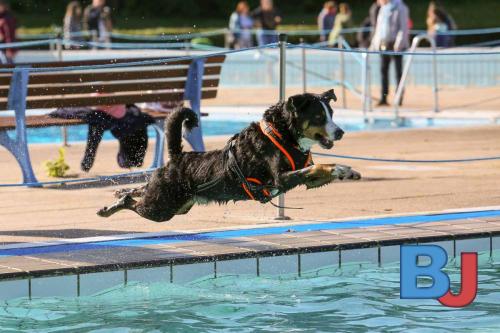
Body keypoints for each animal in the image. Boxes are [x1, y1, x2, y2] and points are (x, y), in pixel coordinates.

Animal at [97, 89, 362, 222]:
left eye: (331, 113)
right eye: (318, 116)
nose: (340, 132)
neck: (281, 134)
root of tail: (177, 157)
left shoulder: (306, 179)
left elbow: (321, 168)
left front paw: (345, 170)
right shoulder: (280, 178)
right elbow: (316, 167)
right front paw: (341, 169)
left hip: (175, 203)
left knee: (141, 189)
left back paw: (120, 194)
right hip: (160, 208)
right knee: (133, 202)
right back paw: (113, 205)